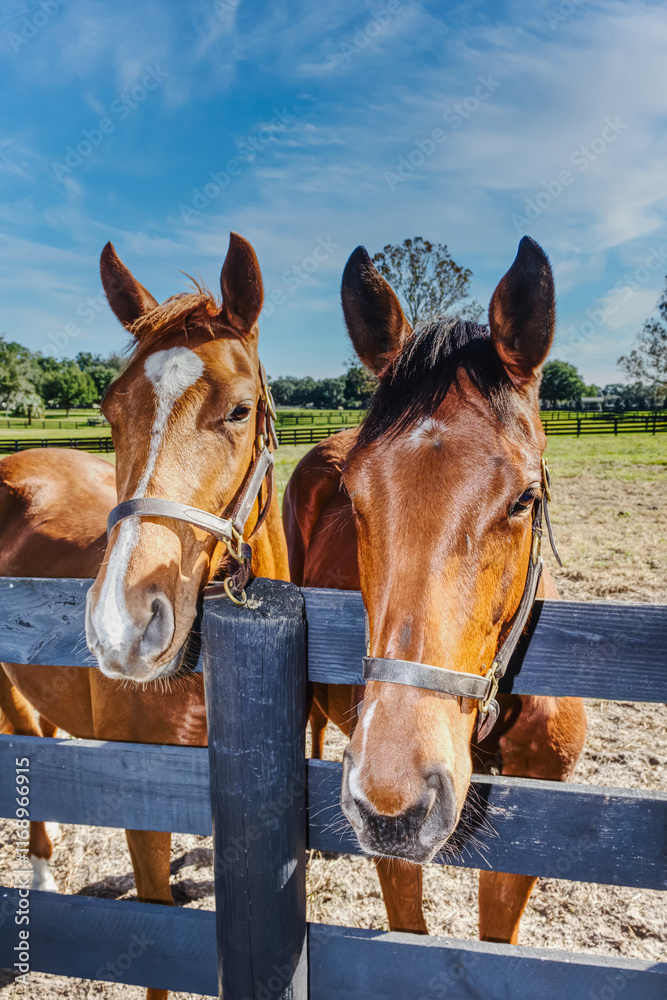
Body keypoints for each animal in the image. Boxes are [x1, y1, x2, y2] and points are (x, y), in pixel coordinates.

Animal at [0, 232, 289, 1000]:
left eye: (241, 410)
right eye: (109, 409)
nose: (123, 627)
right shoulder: (143, 818)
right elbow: (159, 946)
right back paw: (40, 871)